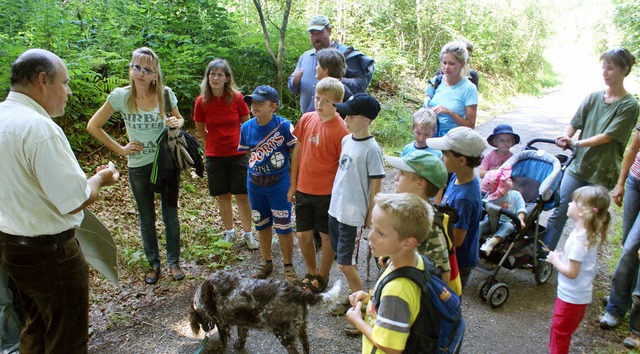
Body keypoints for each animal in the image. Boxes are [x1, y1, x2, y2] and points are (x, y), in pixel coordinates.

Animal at [189, 270, 340, 352]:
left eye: (200, 319)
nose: (204, 328)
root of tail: (297, 292)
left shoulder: (221, 323)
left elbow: (223, 339)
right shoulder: (242, 322)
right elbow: (241, 335)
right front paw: (239, 345)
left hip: (283, 334)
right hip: (302, 329)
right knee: (306, 347)